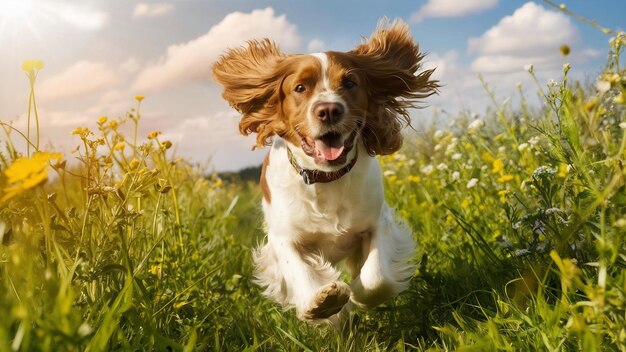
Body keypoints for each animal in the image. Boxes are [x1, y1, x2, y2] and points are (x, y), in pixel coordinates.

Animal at [212, 17, 436, 324]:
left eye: (350, 83)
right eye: (299, 88)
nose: (329, 110)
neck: (326, 178)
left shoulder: (378, 222)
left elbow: (376, 278)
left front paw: (354, 298)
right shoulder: (282, 238)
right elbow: (297, 268)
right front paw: (321, 303)